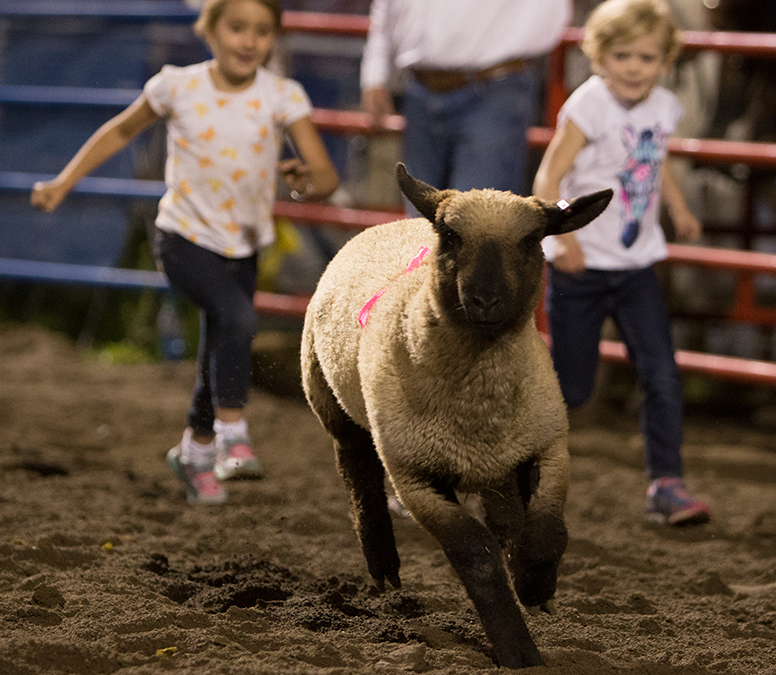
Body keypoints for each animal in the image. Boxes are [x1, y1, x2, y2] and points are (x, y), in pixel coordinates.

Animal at [300, 165, 608, 672]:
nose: (485, 299)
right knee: (357, 473)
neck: (477, 405)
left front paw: (535, 585)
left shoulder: (548, 444)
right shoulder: (413, 476)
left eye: (532, 239)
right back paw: (382, 564)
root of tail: (394, 222)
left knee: (508, 511)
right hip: (328, 400)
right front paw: (518, 650)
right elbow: (475, 554)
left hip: (502, 461)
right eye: (450, 235)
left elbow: (547, 528)